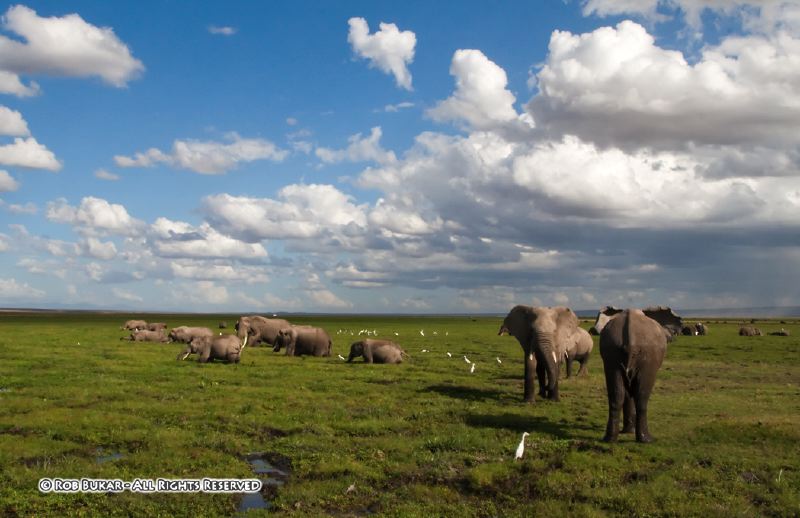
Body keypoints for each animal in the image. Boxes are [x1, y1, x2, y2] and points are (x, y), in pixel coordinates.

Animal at [599, 309, 667, 443]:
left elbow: (626, 392)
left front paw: (627, 431)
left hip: (611, 353)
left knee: (616, 395)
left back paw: (609, 439)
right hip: (648, 357)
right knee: (642, 396)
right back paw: (647, 439)